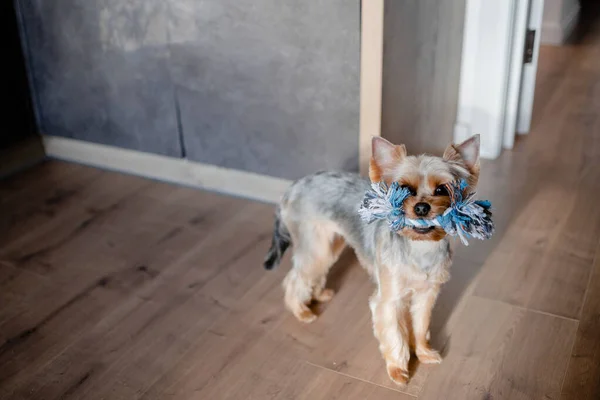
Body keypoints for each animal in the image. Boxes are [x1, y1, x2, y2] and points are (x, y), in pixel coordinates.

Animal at [264, 135, 480, 388]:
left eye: (441, 189)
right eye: (404, 189)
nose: (421, 207)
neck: (419, 245)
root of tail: (292, 188)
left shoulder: (426, 294)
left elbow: (421, 325)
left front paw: (424, 353)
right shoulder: (389, 300)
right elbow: (395, 335)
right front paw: (398, 370)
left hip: (330, 243)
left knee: (314, 270)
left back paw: (317, 295)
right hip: (314, 244)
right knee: (295, 277)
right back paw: (301, 310)